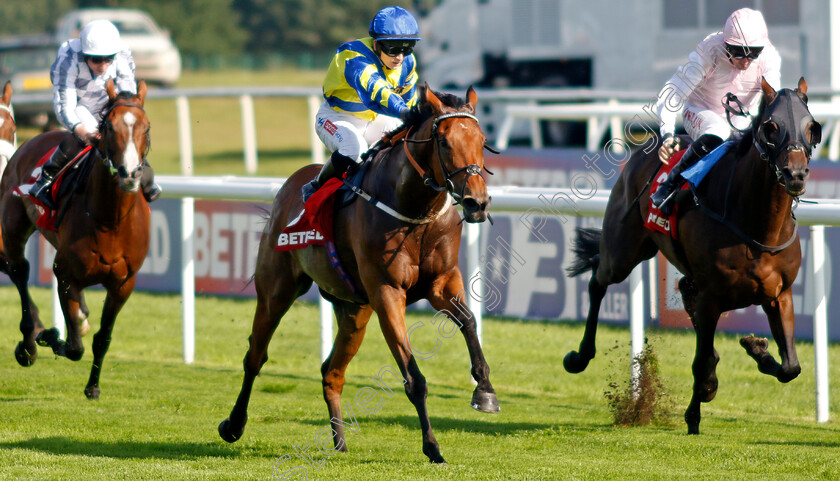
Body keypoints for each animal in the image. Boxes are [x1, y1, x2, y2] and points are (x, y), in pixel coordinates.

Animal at [0, 79, 153, 400]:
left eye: (145, 127)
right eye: (110, 128)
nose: (129, 174)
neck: (110, 220)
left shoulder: (123, 284)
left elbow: (102, 338)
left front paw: (93, 386)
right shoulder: (66, 275)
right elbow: (72, 347)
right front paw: (48, 335)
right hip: (13, 225)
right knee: (19, 271)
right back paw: (29, 344)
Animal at [220, 85, 502, 462]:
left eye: (482, 140)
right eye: (443, 142)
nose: (477, 202)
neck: (412, 210)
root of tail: (289, 186)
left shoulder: (442, 282)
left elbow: (469, 322)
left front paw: (485, 391)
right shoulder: (387, 292)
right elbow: (414, 379)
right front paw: (432, 446)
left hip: (354, 311)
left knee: (332, 372)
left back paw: (339, 441)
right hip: (276, 290)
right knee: (255, 357)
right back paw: (233, 425)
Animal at [564, 77, 820, 434]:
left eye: (812, 127)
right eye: (771, 126)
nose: (795, 174)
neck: (757, 226)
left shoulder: (778, 294)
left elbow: (791, 367)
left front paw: (756, 347)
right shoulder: (712, 296)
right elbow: (702, 365)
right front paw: (696, 412)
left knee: (684, 291)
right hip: (623, 250)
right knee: (598, 281)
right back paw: (579, 357)